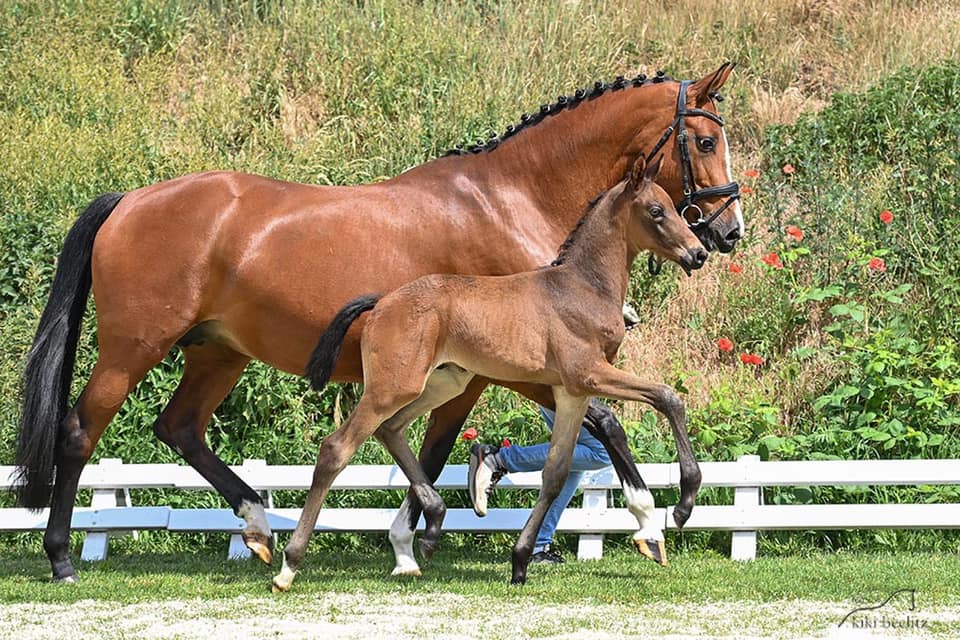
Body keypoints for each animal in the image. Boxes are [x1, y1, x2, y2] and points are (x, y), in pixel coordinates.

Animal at [274, 156, 708, 592]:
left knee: (391, 429)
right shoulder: (589, 374)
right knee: (336, 448)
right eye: (657, 211)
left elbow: (556, 472)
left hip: (441, 384)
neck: (582, 287)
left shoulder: (571, 393)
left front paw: (520, 561)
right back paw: (289, 565)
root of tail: (382, 302)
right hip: (392, 388)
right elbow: (668, 396)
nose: (699, 253)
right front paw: (684, 504)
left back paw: (431, 524)